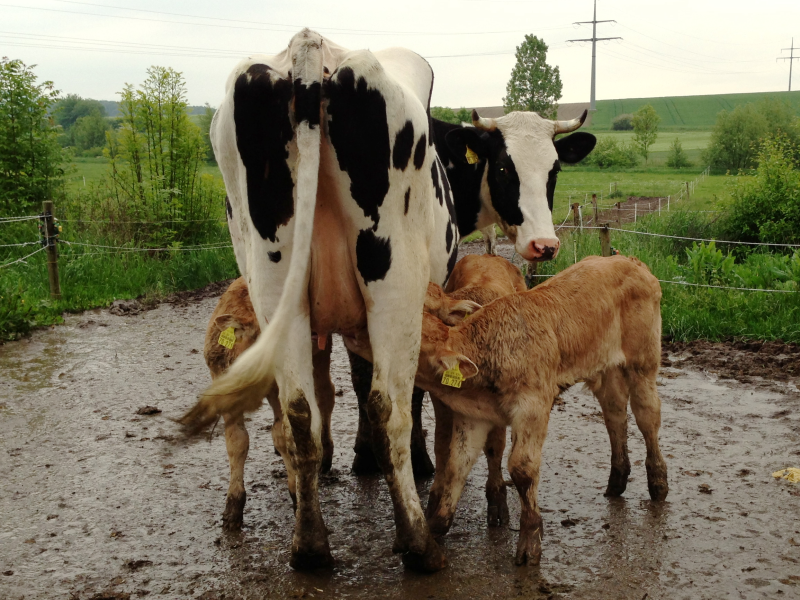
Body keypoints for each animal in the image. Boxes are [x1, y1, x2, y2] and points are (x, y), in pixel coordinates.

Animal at [181, 28, 592, 572]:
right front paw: (408, 464)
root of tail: (310, 46)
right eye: (505, 167)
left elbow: (343, 386)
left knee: (298, 411)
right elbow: (402, 393)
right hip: (392, 287)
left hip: (273, 283)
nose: (544, 245)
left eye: (554, 170)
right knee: (388, 408)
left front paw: (353, 460)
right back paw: (418, 542)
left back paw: (310, 544)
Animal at [416, 255, 664, 564]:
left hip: (643, 362)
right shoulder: (472, 416)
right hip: (606, 367)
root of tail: (629, 260)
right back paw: (617, 480)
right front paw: (435, 527)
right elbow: (455, 464)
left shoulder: (533, 406)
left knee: (647, 415)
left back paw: (658, 483)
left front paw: (530, 540)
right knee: (615, 413)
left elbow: (522, 468)